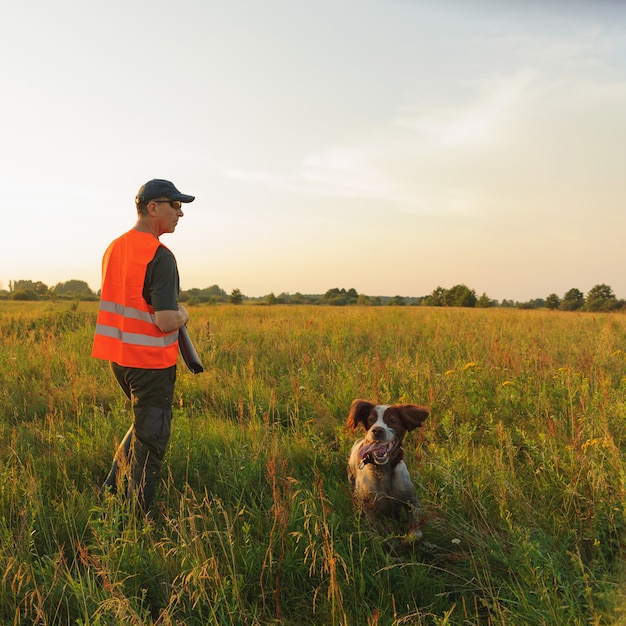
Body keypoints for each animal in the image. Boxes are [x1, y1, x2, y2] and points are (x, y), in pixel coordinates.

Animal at [344, 400, 426, 536]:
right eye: (371, 419)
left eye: (392, 420)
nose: (377, 431)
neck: (384, 471)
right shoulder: (370, 508)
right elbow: (379, 534)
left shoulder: (410, 499)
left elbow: (416, 532)